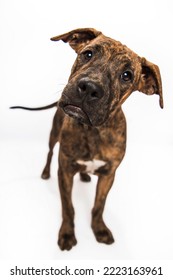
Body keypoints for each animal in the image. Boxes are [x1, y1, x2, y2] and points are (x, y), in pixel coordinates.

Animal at [11, 29, 164, 252]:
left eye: (127, 75)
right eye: (88, 54)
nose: (89, 87)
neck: (93, 132)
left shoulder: (109, 175)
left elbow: (99, 206)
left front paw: (99, 229)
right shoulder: (65, 171)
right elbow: (68, 207)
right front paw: (67, 233)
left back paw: (84, 176)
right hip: (53, 134)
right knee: (49, 152)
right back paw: (46, 172)